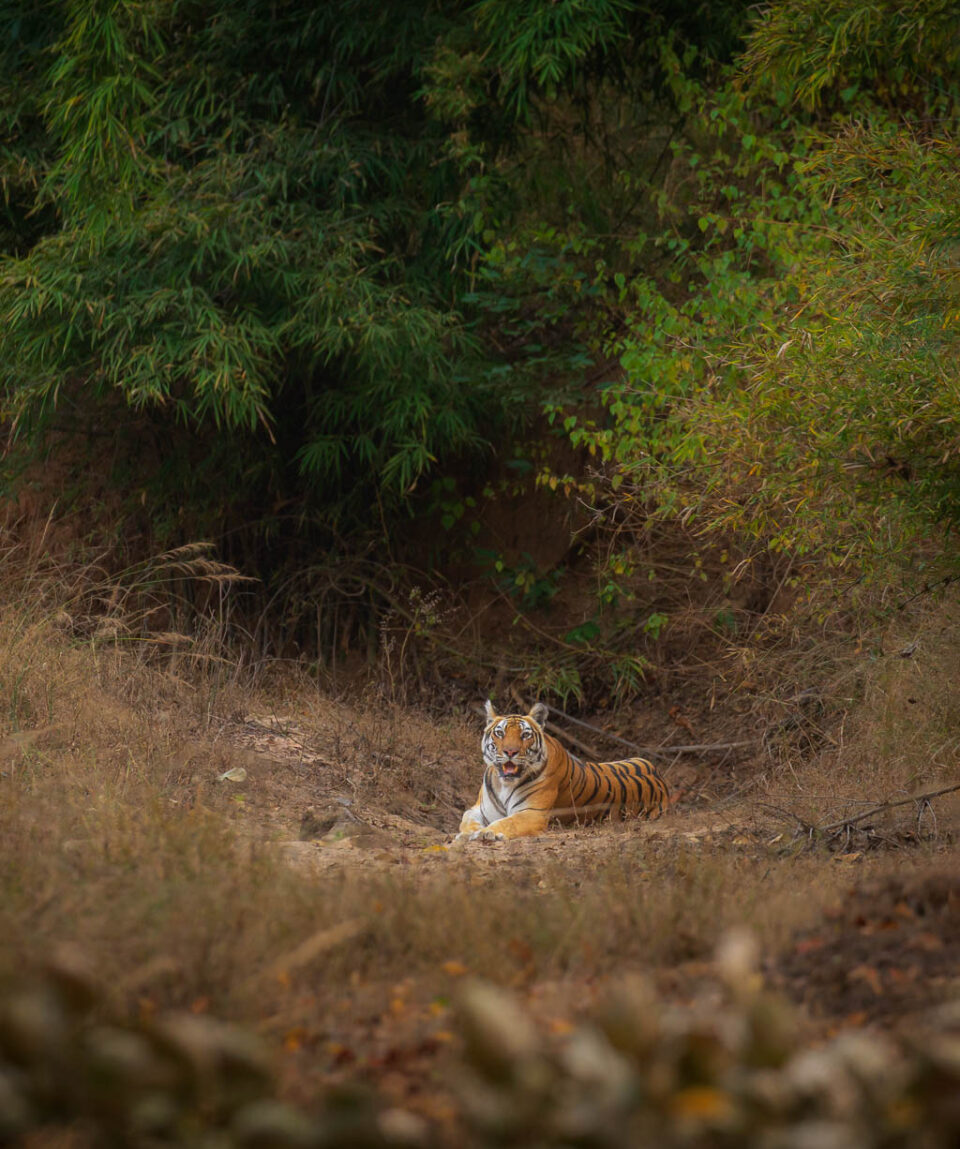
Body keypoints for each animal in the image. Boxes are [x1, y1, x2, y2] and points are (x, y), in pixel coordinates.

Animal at [454, 693, 666, 841]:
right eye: (500, 733)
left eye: (525, 735)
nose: (510, 752)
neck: (505, 784)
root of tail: (661, 780)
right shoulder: (478, 810)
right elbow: (467, 820)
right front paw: (468, 834)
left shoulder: (533, 813)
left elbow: (507, 822)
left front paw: (486, 832)